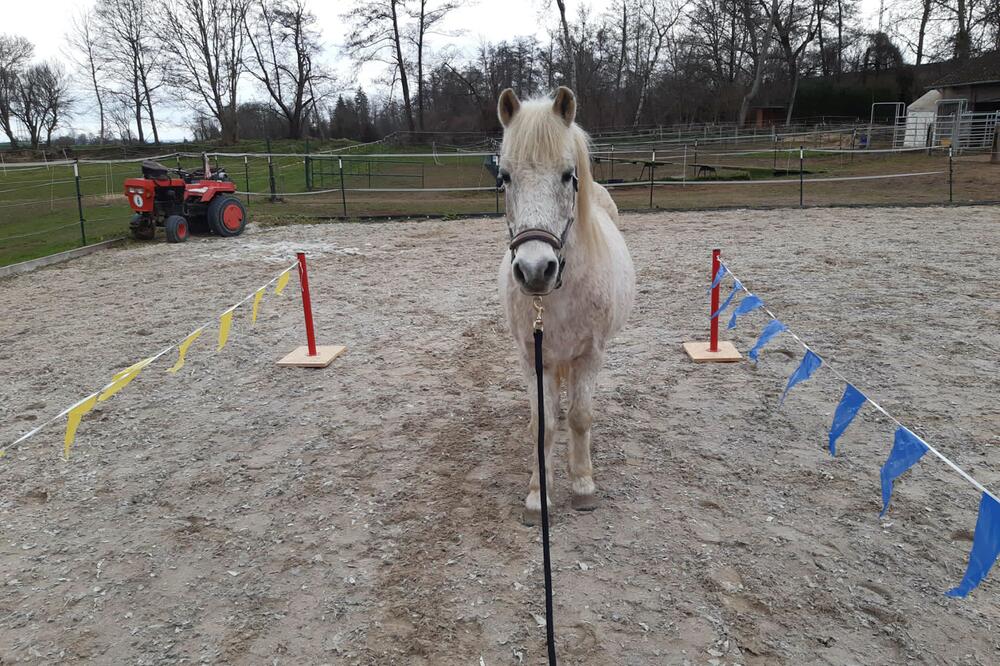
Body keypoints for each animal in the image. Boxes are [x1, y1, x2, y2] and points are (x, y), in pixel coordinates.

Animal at [496, 87, 636, 524]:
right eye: (504, 177)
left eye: (567, 175)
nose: (534, 269)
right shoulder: (532, 357)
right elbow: (542, 425)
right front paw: (538, 495)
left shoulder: (589, 355)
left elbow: (579, 417)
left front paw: (583, 485)